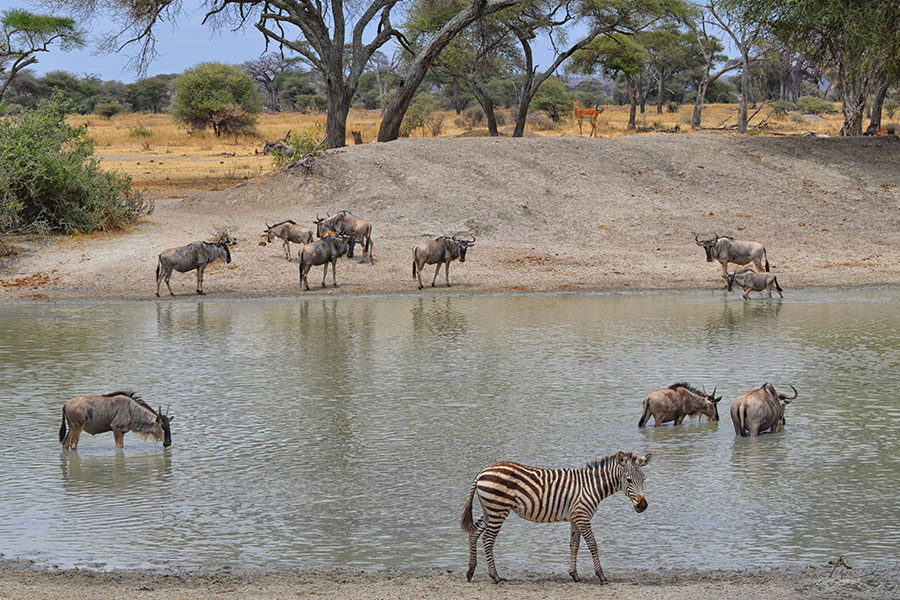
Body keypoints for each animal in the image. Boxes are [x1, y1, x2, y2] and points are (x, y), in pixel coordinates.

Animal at [460, 452, 652, 584]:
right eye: (629, 480)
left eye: (643, 479)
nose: (643, 506)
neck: (591, 487)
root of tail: (482, 473)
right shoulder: (582, 516)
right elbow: (592, 544)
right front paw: (601, 576)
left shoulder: (575, 518)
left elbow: (574, 545)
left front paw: (574, 575)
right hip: (498, 509)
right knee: (487, 539)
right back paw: (496, 577)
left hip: (490, 510)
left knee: (474, 532)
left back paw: (470, 571)